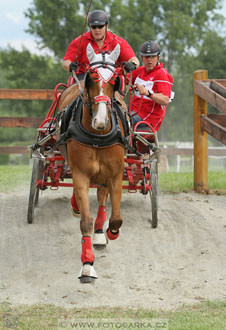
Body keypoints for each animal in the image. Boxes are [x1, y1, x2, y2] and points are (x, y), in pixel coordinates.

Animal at [58, 42, 126, 282]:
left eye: (115, 80)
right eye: (90, 79)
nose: (100, 120)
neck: (98, 134)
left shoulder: (115, 175)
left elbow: (116, 218)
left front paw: (109, 233)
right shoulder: (80, 174)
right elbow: (85, 220)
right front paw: (87, 264)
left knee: (102, 197)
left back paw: (100, 232)